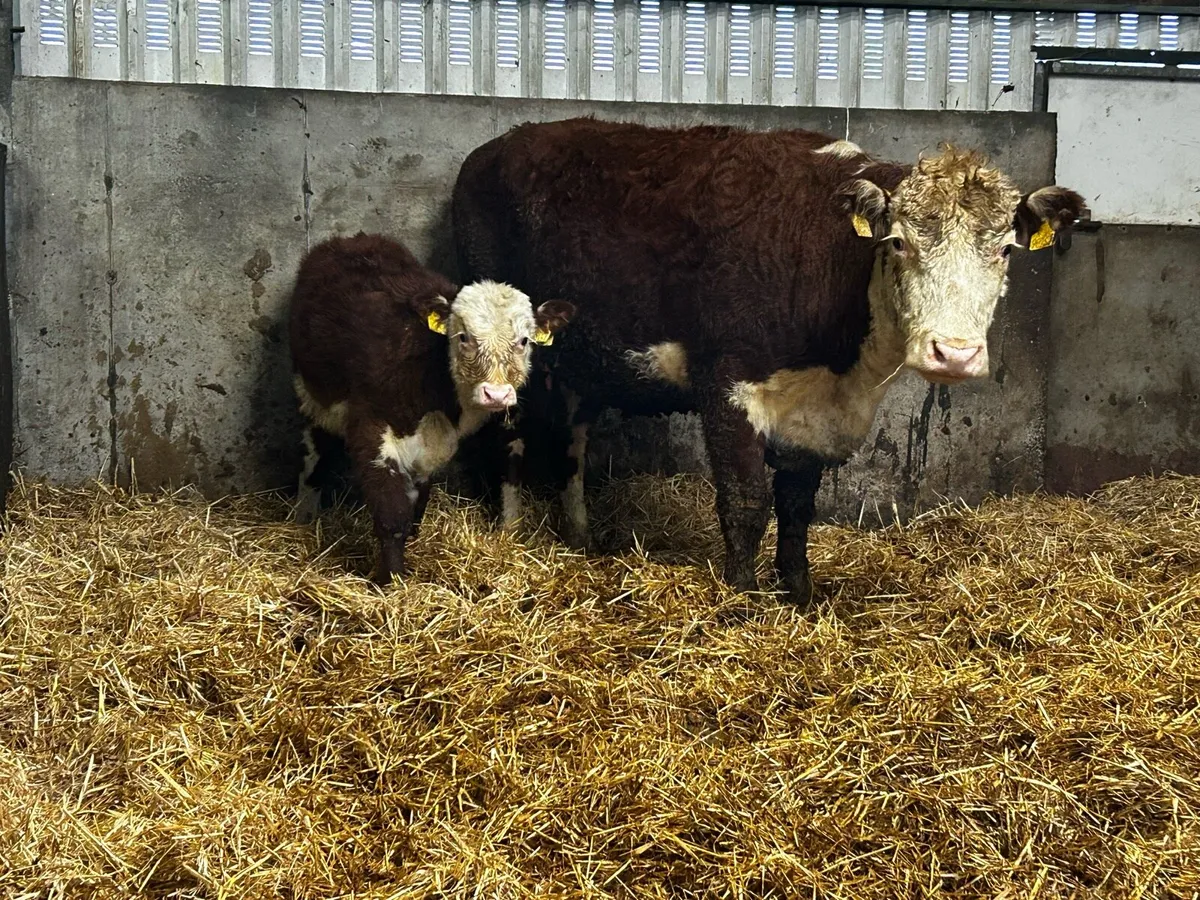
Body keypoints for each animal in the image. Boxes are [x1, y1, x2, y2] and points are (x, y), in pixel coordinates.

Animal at [288, 232, 574, 582]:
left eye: (523, 341)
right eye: (463, 336)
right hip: (310, 396)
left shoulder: (432, 446)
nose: (496, 394)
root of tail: (351, 240)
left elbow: (417, 503)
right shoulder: (371, 430)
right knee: (313, 456)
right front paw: (391, 580)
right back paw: (303, 513)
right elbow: (392, 514)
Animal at [452, 118, 1087, 606]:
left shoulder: (816, 410)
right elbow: (746, 502)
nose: (954, 354)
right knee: (509, 437)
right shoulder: (727, 382)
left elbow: (798, 508)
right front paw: (742, 598)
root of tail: (498, 144)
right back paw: (511, 532)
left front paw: (800, 595)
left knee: (571, 443)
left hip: (580, 359)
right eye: (899, 242)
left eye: (1005, 248)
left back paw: (580, 535)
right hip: (506, 343)